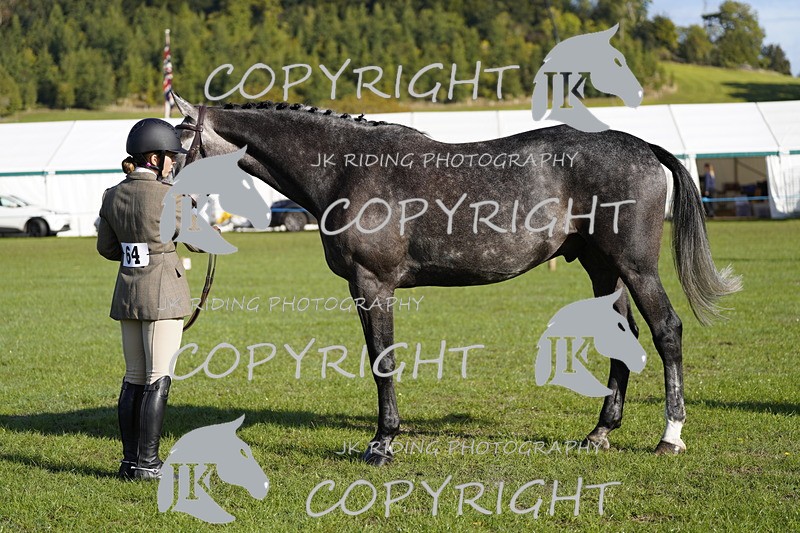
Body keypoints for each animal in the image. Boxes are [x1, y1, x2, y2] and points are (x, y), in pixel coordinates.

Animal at [171, 93, 741, 465]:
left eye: (176, 148)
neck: (345, 169)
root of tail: (643, 146)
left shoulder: (371, 285)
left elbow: (382, 362)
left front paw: (382, 443)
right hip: (602, 268)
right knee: (624, 338)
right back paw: (599, 433)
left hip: (635, 266)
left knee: (667, 331)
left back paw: (670, 436)